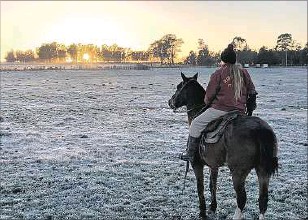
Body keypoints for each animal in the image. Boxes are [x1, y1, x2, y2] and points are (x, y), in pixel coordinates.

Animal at [168, 72, 280, 220]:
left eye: (179, 87)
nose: (170, 102)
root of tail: (260, 129)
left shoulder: (197, 164)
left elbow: (200, 188)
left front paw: (202, 212)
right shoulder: (213, 165)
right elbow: (212, 185)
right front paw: (213, 207)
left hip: (238, 172)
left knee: (241, 198)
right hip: (262, 170)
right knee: (263, 199)